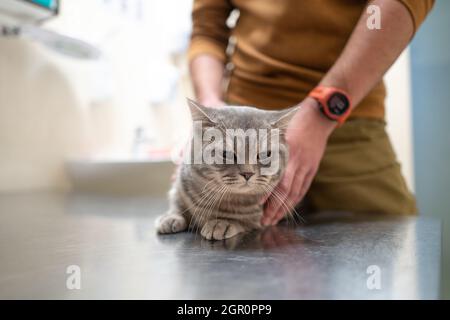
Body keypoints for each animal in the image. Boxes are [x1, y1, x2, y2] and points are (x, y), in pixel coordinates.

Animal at [156, 99, 298, 240]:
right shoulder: (179, 188)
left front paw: (222, 222)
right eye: (226, 153)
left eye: (265, 154)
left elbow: (243, 220)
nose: (248, 173)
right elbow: (177, 204)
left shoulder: (260, 218)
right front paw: (170, 217)